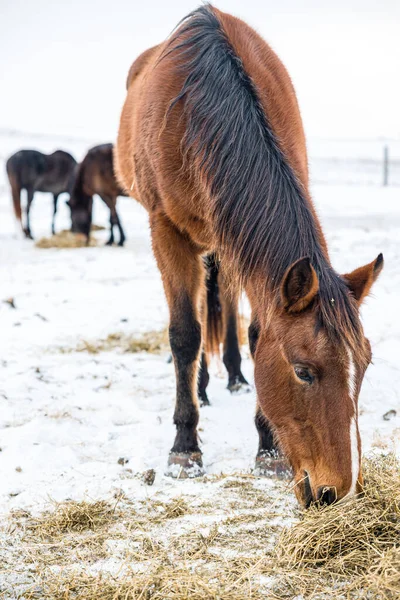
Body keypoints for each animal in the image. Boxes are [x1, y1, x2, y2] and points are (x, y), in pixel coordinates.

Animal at [115, 5, 382, 506]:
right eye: (303, 372)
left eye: (365, 365)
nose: (335, 493)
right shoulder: (167, 231)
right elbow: (185, 334)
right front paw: (185, 448)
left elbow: (257, 332)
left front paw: (267, 449)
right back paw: (200, 389)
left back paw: (235, 378)